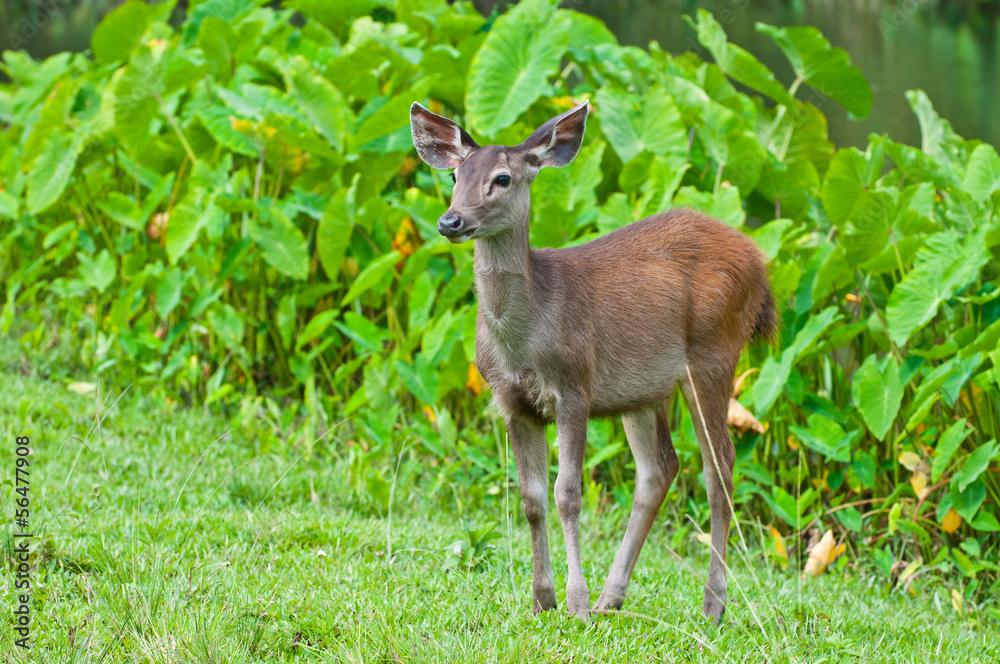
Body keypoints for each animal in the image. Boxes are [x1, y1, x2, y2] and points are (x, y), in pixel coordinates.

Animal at [409, 99, 776, 624]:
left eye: (503, 178)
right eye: (456, 175)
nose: (451, 221)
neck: (525, 338)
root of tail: (761, 264)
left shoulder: (574, 387)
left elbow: (568, 493)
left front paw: (575, 603)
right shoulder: (511, 401)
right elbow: (531, 498)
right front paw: (542, 599)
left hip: (714, 354)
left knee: (719, 465)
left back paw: (711, 604)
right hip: (643, 390)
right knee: (660, 469)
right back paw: (613, 596)